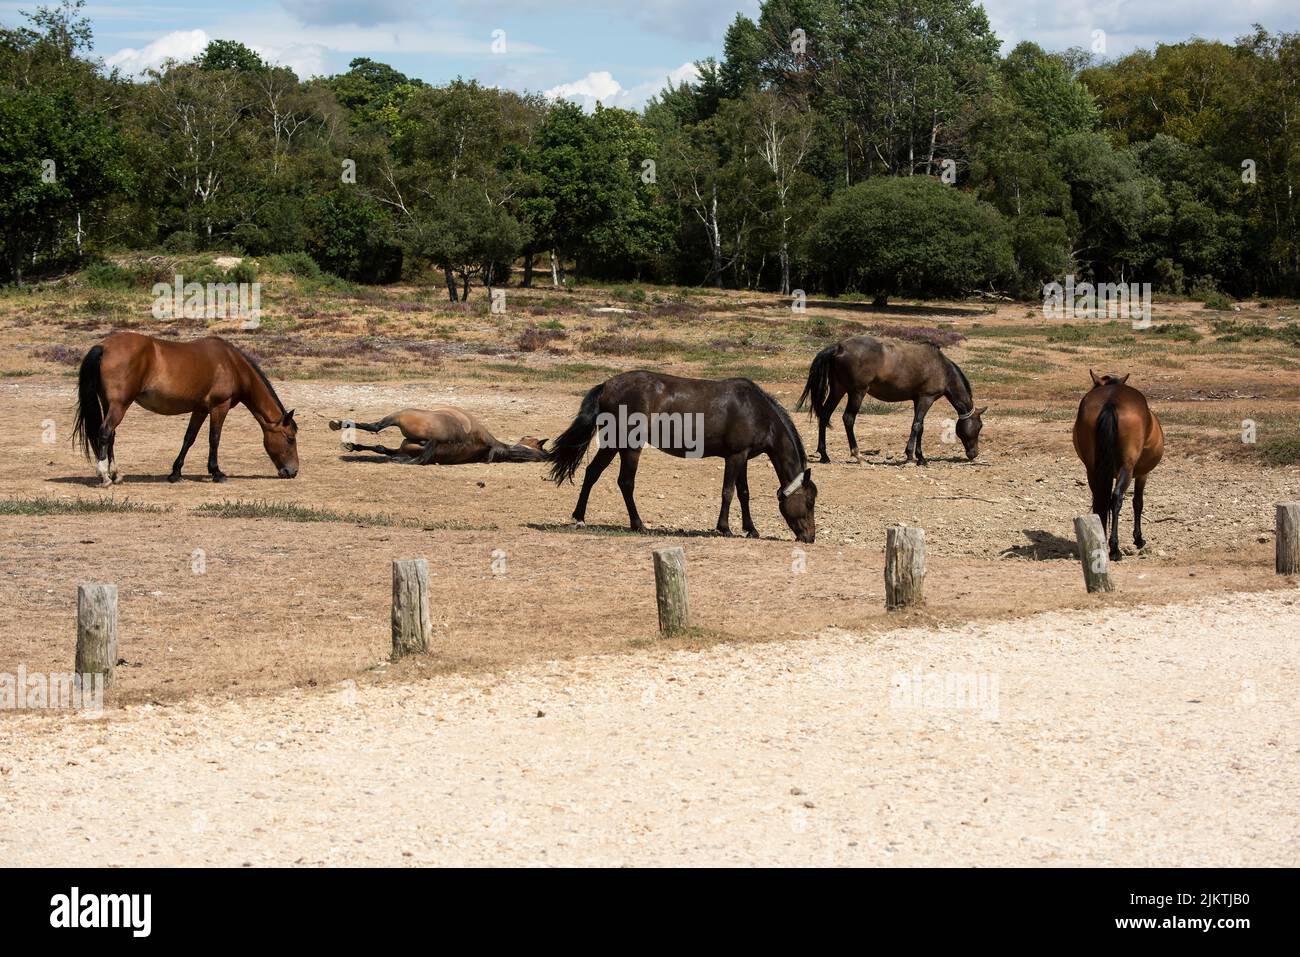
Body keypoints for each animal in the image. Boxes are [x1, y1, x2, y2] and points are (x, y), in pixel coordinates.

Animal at [71, 335, 299, 486]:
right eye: (290, 439)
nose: (292, 471)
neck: (231, 364)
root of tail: (104, 346)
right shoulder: (219, 406)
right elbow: (214, 439)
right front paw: (217, 473)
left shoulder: (200, 409)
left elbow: (189, 438)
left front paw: (175, 473)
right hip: (119, 405)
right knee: (105, 433)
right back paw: (104, 476)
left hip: (110, 404)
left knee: (111, 436)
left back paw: (117, 474)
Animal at [546, 369, 811, 540]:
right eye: (810, 502)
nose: (810, 537)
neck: (757, 410)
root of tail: (607, 386)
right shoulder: (735, 456)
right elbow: (728, 492)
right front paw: (725, 528)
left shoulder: (742, 457)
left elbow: (743, 493)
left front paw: (751, 529)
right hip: (629, 446)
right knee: (625, 482)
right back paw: (638, 524)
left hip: (613, 444)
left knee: (592, 473)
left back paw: (579, 516)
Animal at [790, 335, 982, 468]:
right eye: (979, 427)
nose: (974, 454)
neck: (942, 368)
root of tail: (838, 347)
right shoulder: (926, 398)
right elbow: (917, 426)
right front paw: (912, 456)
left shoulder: (918, 399)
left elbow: (920, 427)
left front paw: (920, 457)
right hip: (857, 392)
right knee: (848, 419)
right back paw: (859, 456)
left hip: (839, 390)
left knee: (824, 415)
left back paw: (824, 455)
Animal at [1071, 369, 1164, 561]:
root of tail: (1111, 400)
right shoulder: (1142, 474)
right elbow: (1138, 502)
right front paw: (1138, 539)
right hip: (1126, 468)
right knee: (1116, 498)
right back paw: (1115, 549)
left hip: (1092, 470)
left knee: (1100, 499)